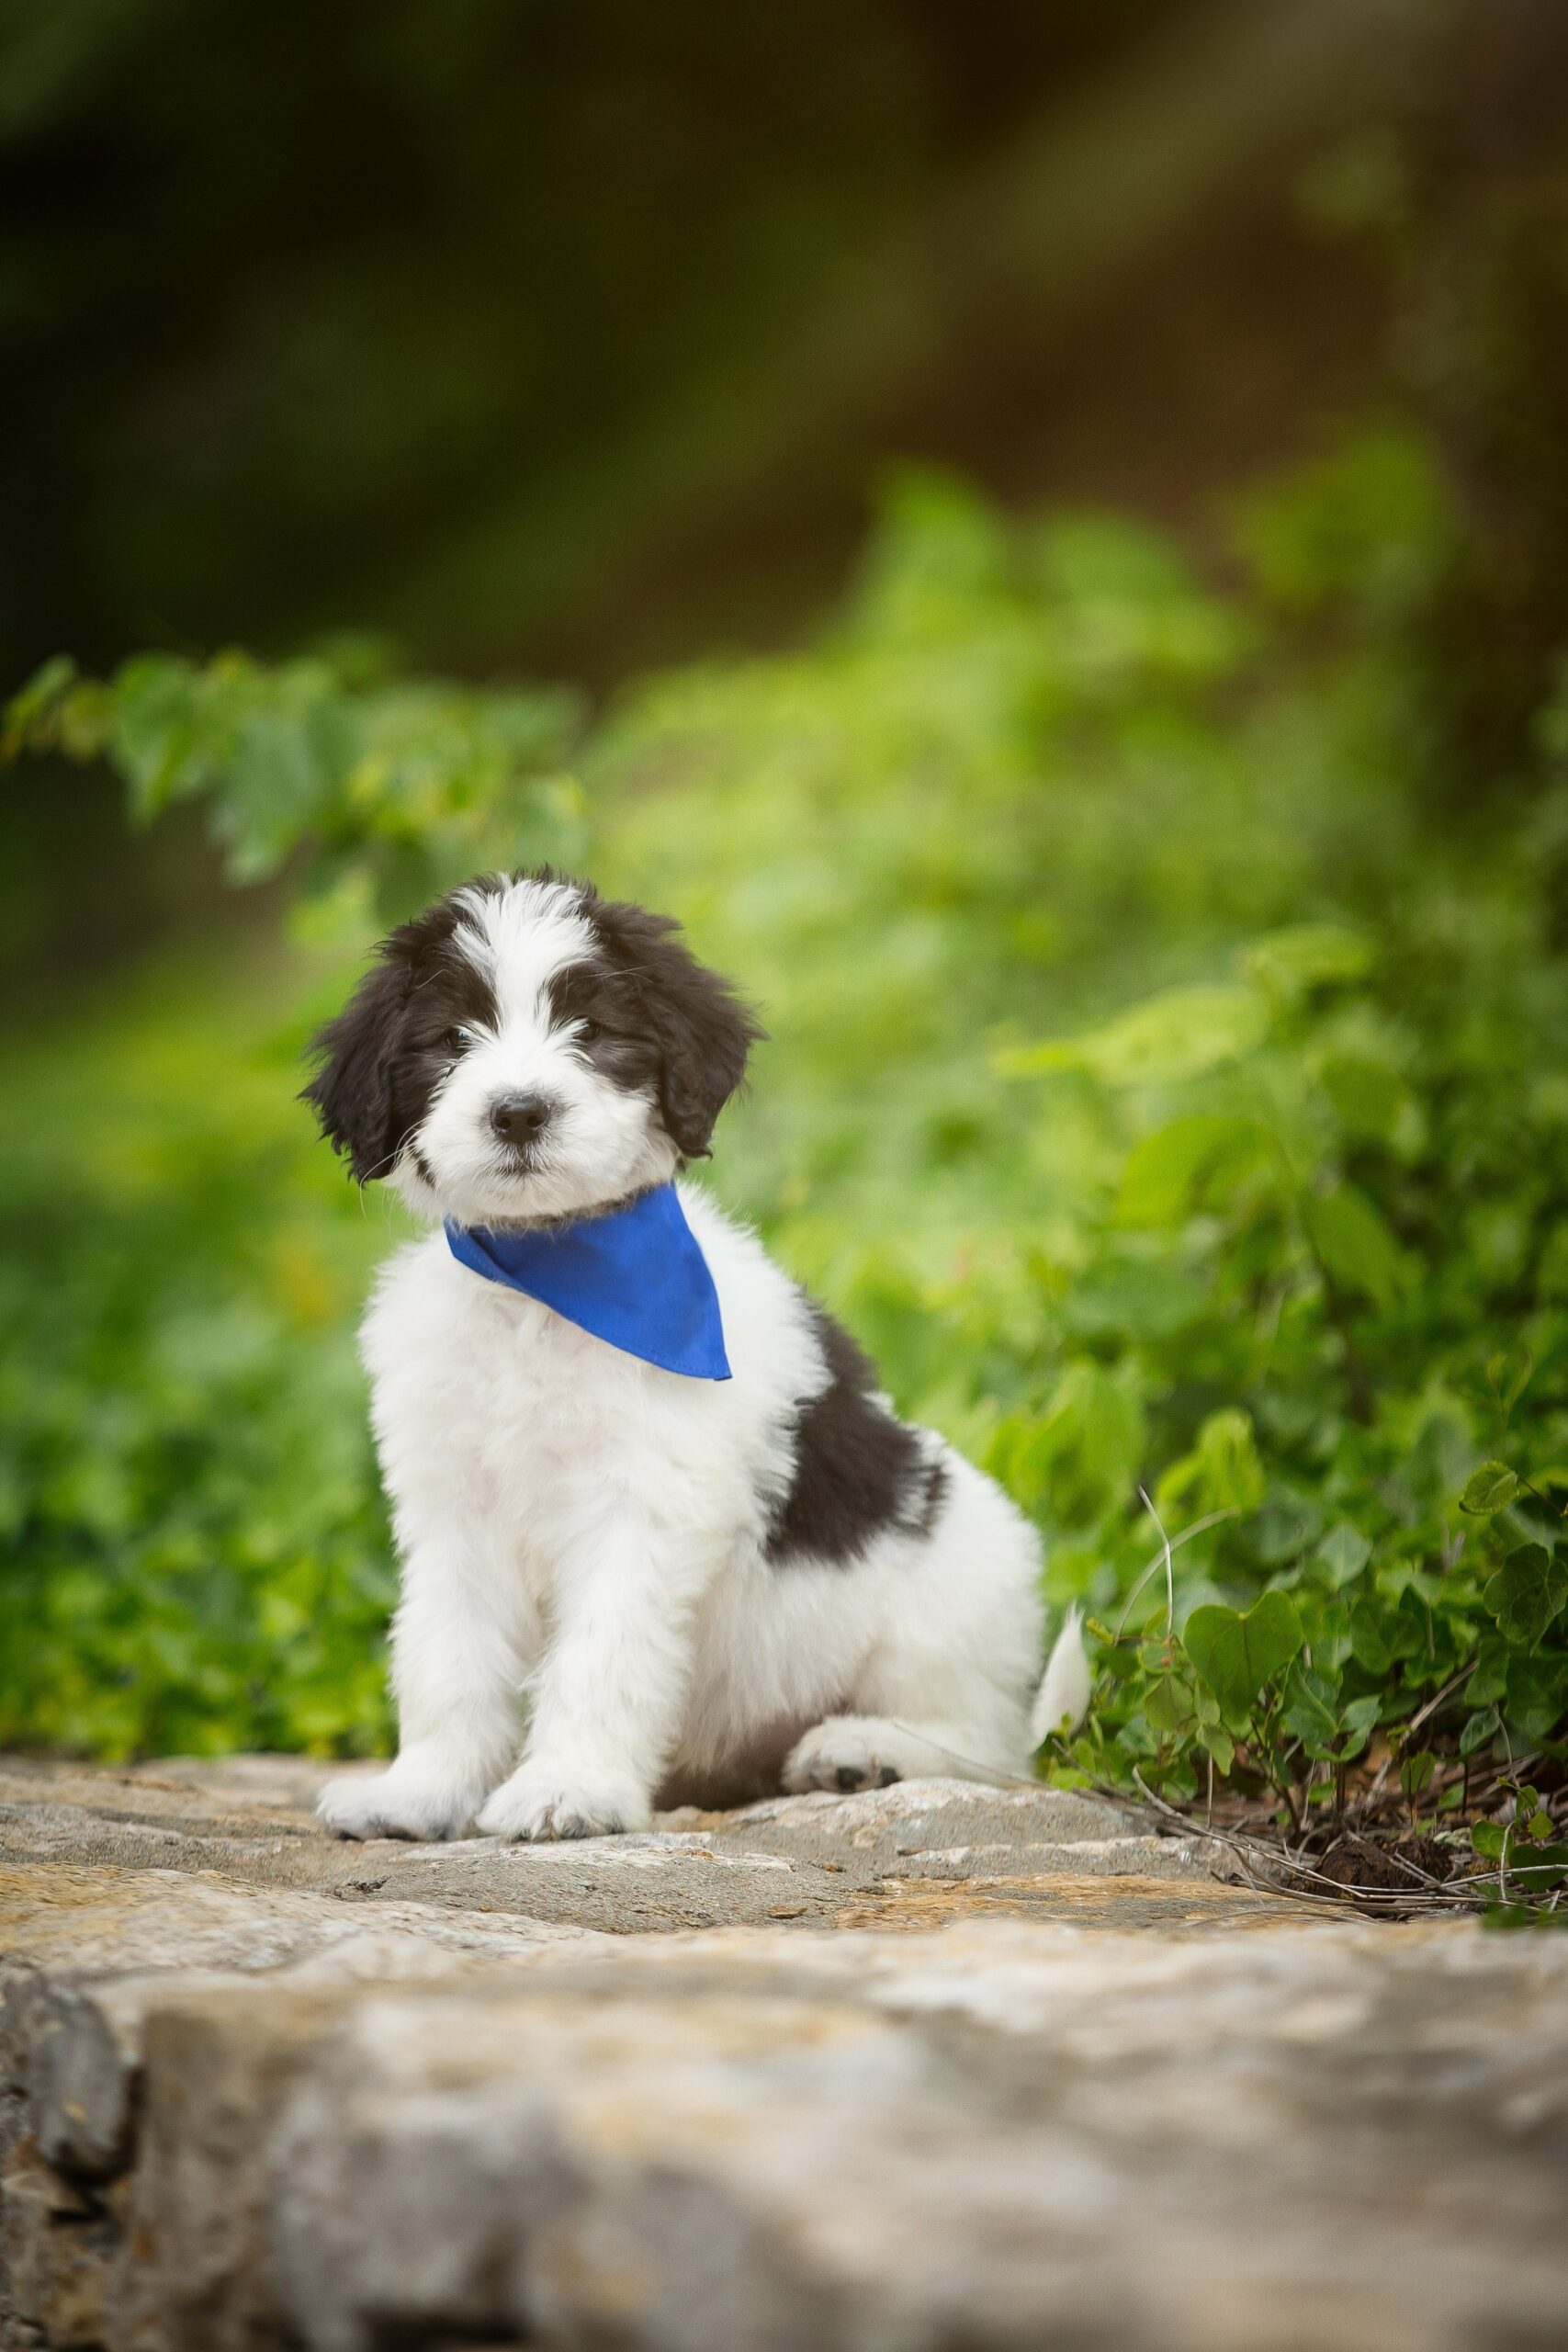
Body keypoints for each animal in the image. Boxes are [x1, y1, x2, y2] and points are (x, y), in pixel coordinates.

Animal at [305, 875, 1090, 1844]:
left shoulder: (640, 1505)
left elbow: (601, 1652)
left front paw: (566, 1788)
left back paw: (867, 1752)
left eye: (593, 1031)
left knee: (984, 1743)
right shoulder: (453, 1509)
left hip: (946, 1584)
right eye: (450, 1040)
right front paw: (421, 1792)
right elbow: (446, 1656)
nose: (518, 1111)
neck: (548, 1280)